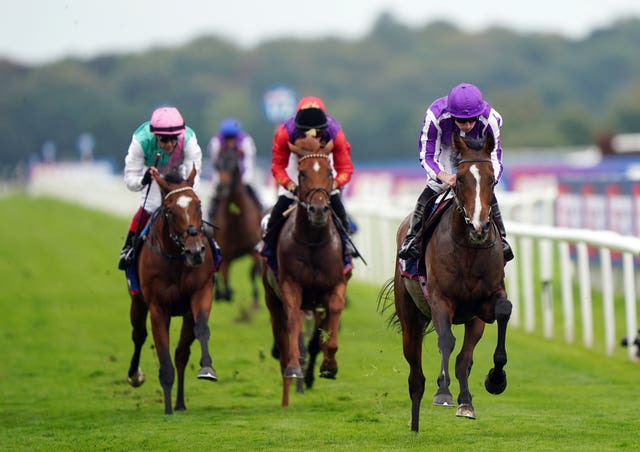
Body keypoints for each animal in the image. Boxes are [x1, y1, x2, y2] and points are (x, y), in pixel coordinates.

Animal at [125, 165, 218, 414]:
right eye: (169, 211)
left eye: (198, 204)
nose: (195, 251)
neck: (177, 258)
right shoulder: (158, 308)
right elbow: (162, 351)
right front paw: (167, 408)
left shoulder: (200, 293)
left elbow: (201, 330)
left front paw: (207, 369)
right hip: (137, 302)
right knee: (139, 335)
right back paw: (135, 376)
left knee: (181, 354)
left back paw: (180, 403)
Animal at [209, 148, 262, 308]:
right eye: (218, 166)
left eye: (234, 167)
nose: (221, 188)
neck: (236, 218)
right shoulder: (226, 253)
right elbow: (225, 276)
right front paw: (226, 294)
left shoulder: (253, 249)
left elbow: (252, 272)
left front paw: (256, 299)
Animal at [262, 136, 350, 408]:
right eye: (301, 174)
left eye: (330, 172)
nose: (319, 210)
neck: (312, 240)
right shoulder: (291, 286)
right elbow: (293, 321)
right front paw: (294, 367)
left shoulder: (335, 285)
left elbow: (333, 318)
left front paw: (330, 365)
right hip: (271, 297)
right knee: (280, 330)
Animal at [378, 132, 512, 432]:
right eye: (460, 178)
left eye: (491, 179)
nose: (479, 227)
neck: (469, 249)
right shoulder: (440, 300)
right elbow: (446, 341)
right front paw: (443, 392)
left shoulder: (484, 304)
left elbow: (502, 312)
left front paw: (495, 380)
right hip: (410, 320)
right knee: (415, 374)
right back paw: (415, 424)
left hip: (472, 320)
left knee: (463, 359)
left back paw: (466, 401)